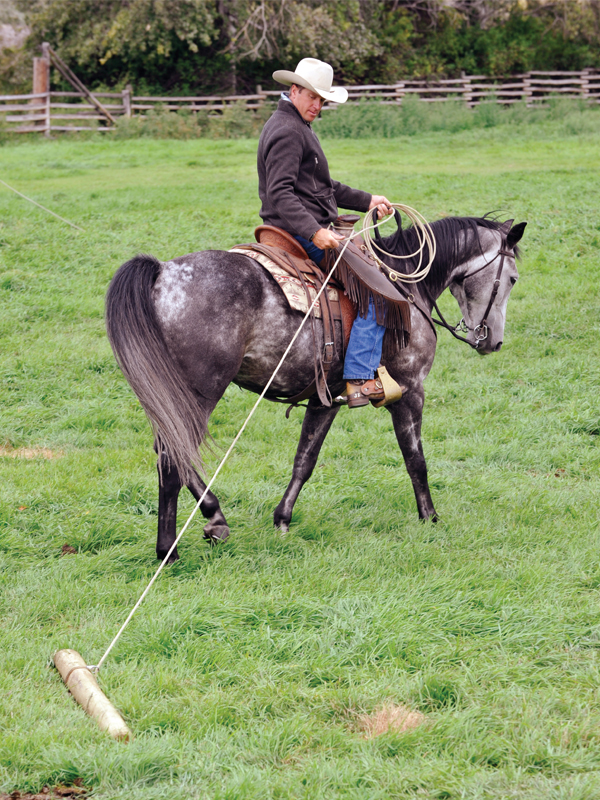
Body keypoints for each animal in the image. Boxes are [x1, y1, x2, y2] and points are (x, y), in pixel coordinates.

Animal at [105, 214, 526, 562]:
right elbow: (415, 460)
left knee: (171, 452)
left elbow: (305, 459)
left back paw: (197, 529)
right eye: (512, 278)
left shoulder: (328, 399)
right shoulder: (409, 391)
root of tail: (163, 273)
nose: (493, 341)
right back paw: (182, 540)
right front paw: (431, 518)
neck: (406, 286)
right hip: (201, 391)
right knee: (173, 456)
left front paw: (282, 519)